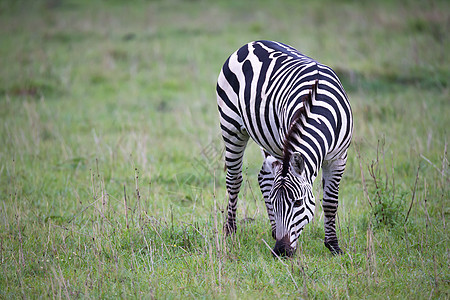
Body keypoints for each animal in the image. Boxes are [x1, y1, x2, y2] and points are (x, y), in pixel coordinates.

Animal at [216, 39, 354, 256]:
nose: (281, 251)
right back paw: (230, 229)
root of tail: (251, 43)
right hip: (231, 126)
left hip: (267, 139)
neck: (318, 107)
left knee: (264, 177)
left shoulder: (339, 157)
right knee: (234, 179)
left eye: (298, 203)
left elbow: (330, 203)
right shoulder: (286, 142)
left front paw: (333, 245)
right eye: (274, 203)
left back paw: (273, 230)